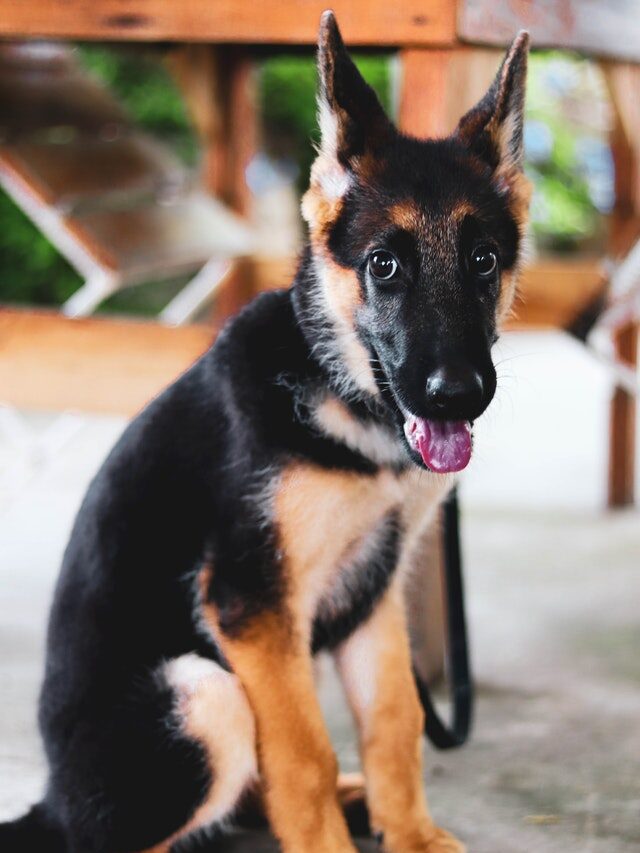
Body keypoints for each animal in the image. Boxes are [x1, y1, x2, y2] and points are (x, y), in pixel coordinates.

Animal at [0, 11, 528, 852]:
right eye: (384, 266)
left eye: (484, 260)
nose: (458, 396)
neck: (342, 397)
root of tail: (50, 802)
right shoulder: (253, 607)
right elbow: (304, 750)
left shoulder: (372, 597)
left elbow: (393, 721)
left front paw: (409, 831)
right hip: (201, 689)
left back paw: (358, 801)